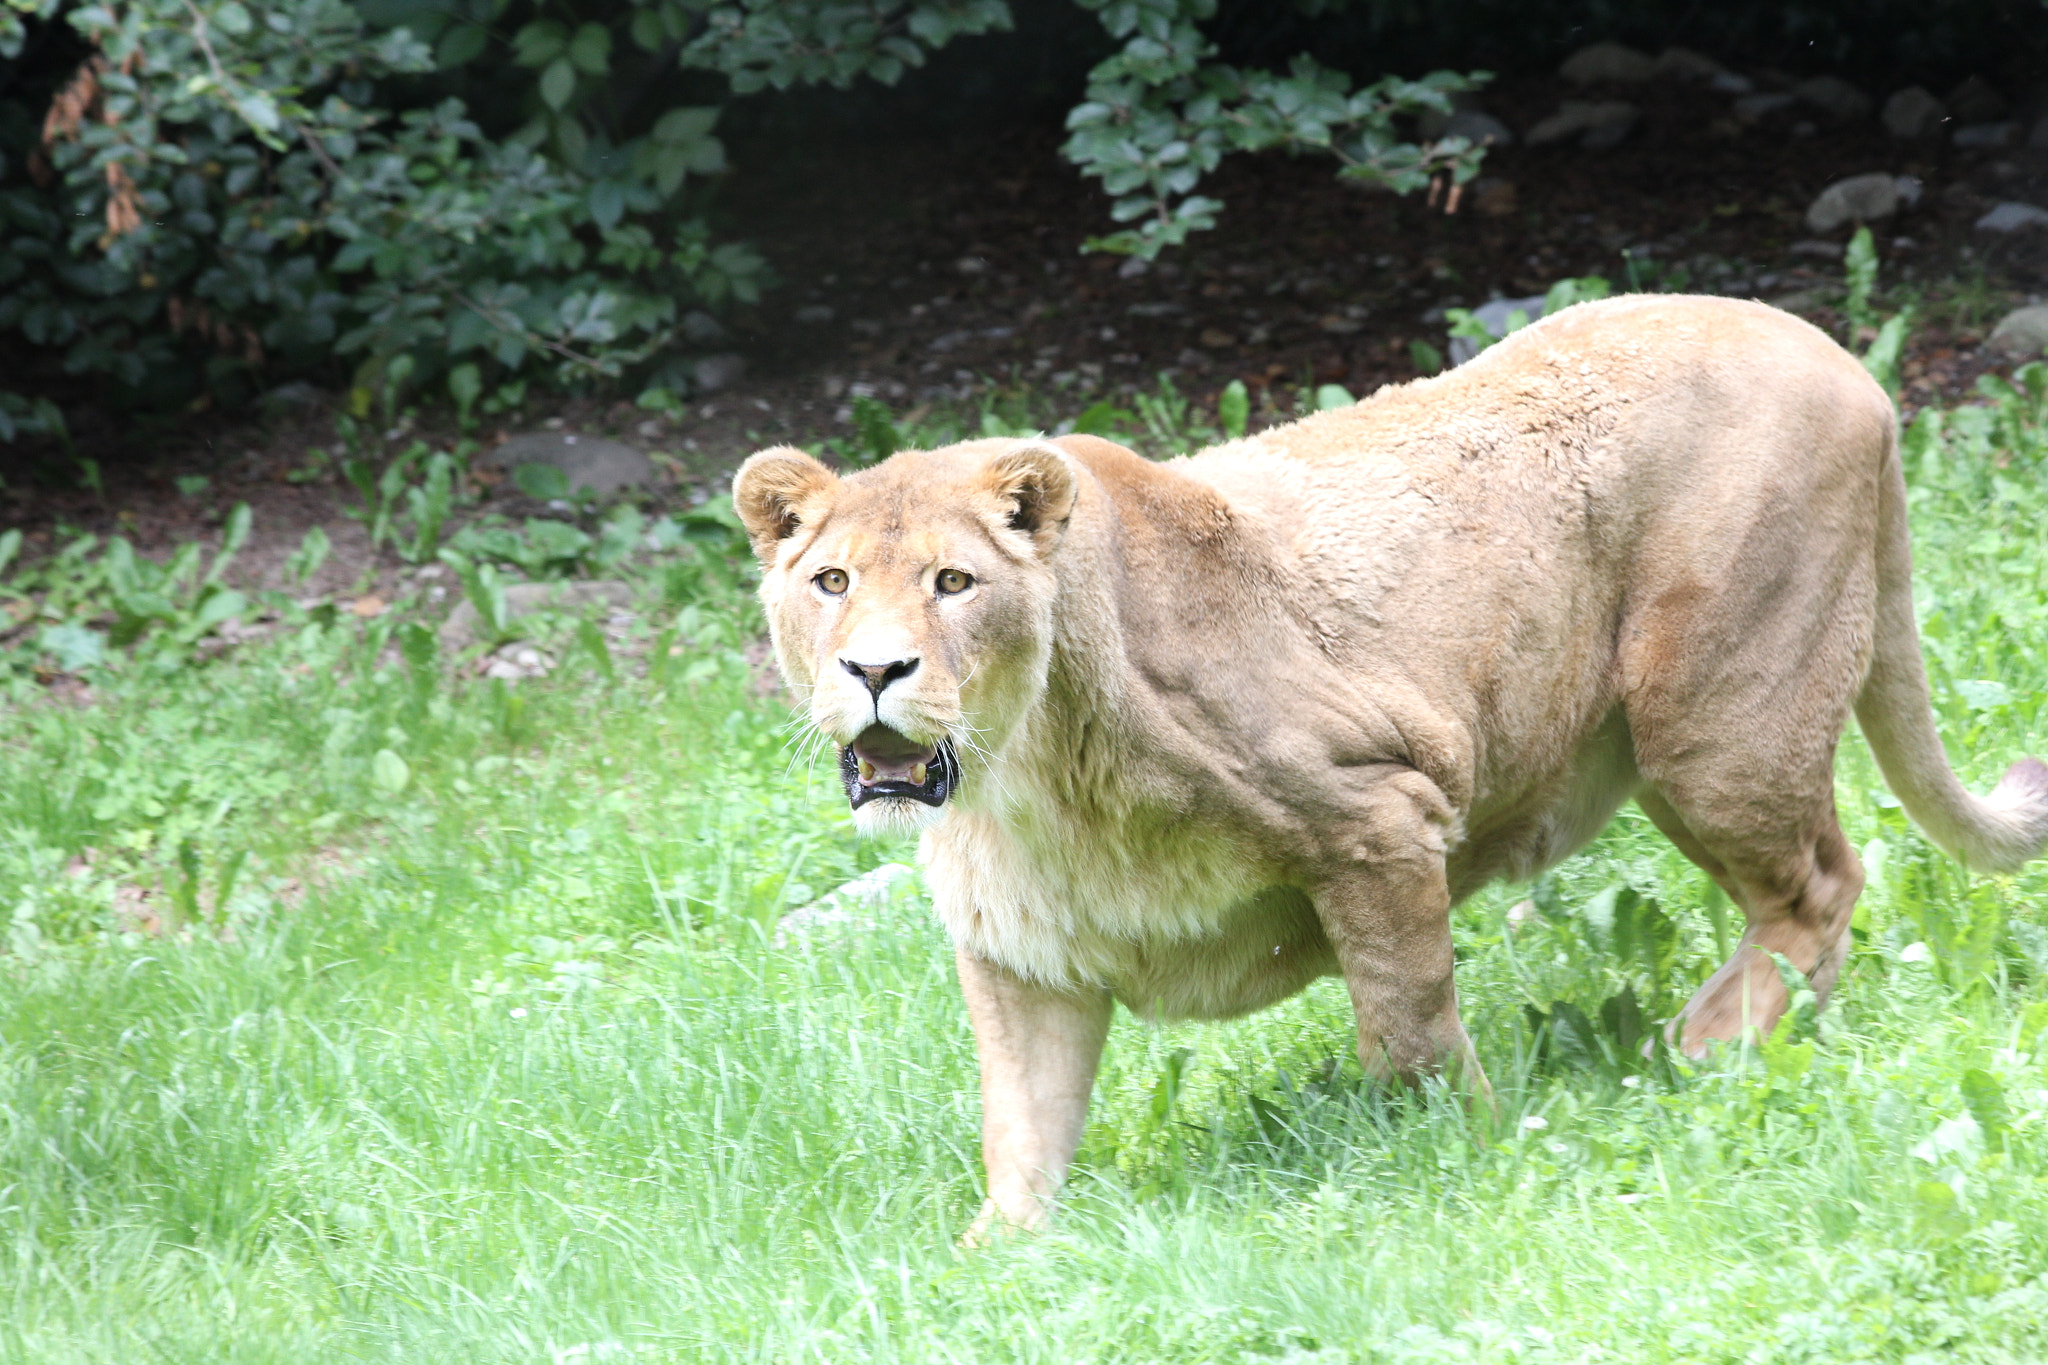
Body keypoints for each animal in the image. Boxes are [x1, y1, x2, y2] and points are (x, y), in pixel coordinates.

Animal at [734, 294, 2048, 1236]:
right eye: (830, 580)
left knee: (1819, 883)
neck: (1024, 777)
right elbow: (1021, 1127)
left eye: (954, 582)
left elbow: (1405, 1026)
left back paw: (1705, 1052)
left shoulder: (1374, 814)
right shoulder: (1020, 946)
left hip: (1716, 716)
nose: (876, 670)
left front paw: (1450, 1157)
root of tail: (1842, 362)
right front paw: (992, 1264)